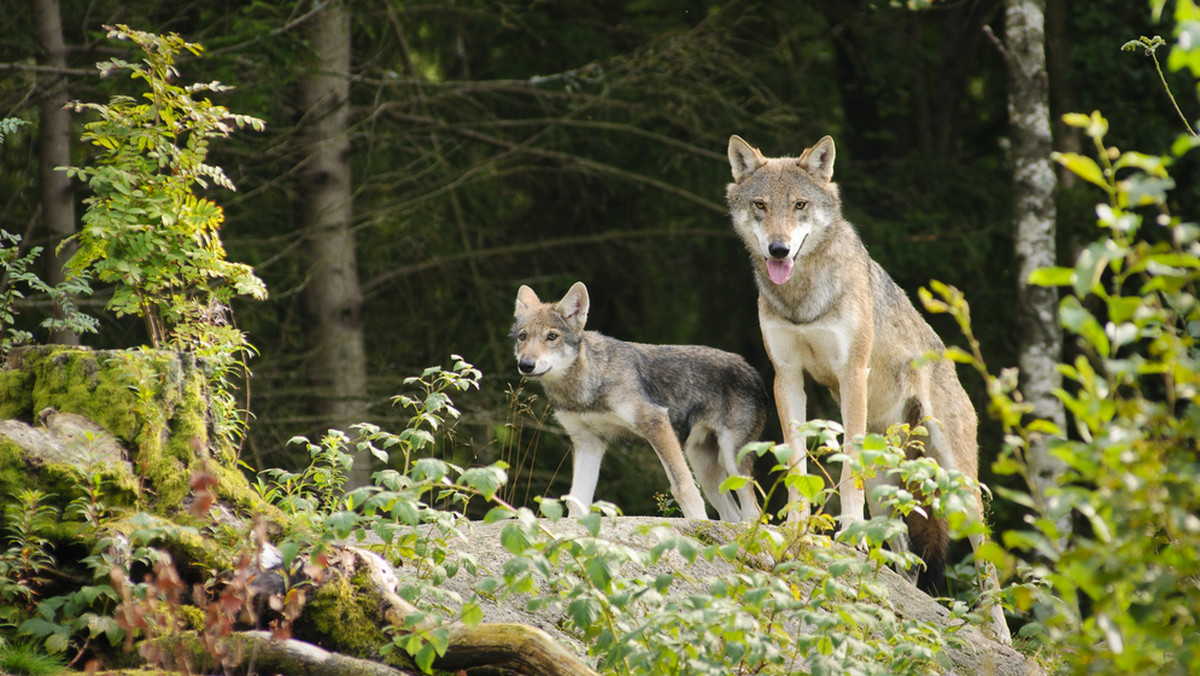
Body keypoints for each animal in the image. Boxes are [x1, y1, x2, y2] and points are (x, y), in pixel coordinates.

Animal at [511, 282, 763, 523]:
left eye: (552, 337)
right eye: (523, 337)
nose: (526, 365)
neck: (585, 389)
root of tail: (752, 370)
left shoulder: (656, 422)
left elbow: (683, 488)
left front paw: (696, 526)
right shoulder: (588, 442)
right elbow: (577, 499)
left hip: (732, 460)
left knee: (753, 511)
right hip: (705, 469)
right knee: (732, 515)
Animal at [720, 133, 1012, 643]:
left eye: (799, 205)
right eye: (760, 205)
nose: (778, 250)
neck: (802, 298)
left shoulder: (851, 373)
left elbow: (845, 465)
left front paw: (848, 529)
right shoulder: (787, 377)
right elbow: (796, 462)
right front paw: (797, 525)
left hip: (958, 485)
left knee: (984, 561)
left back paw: (999, 632)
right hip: (888, 485)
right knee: (908, 559)